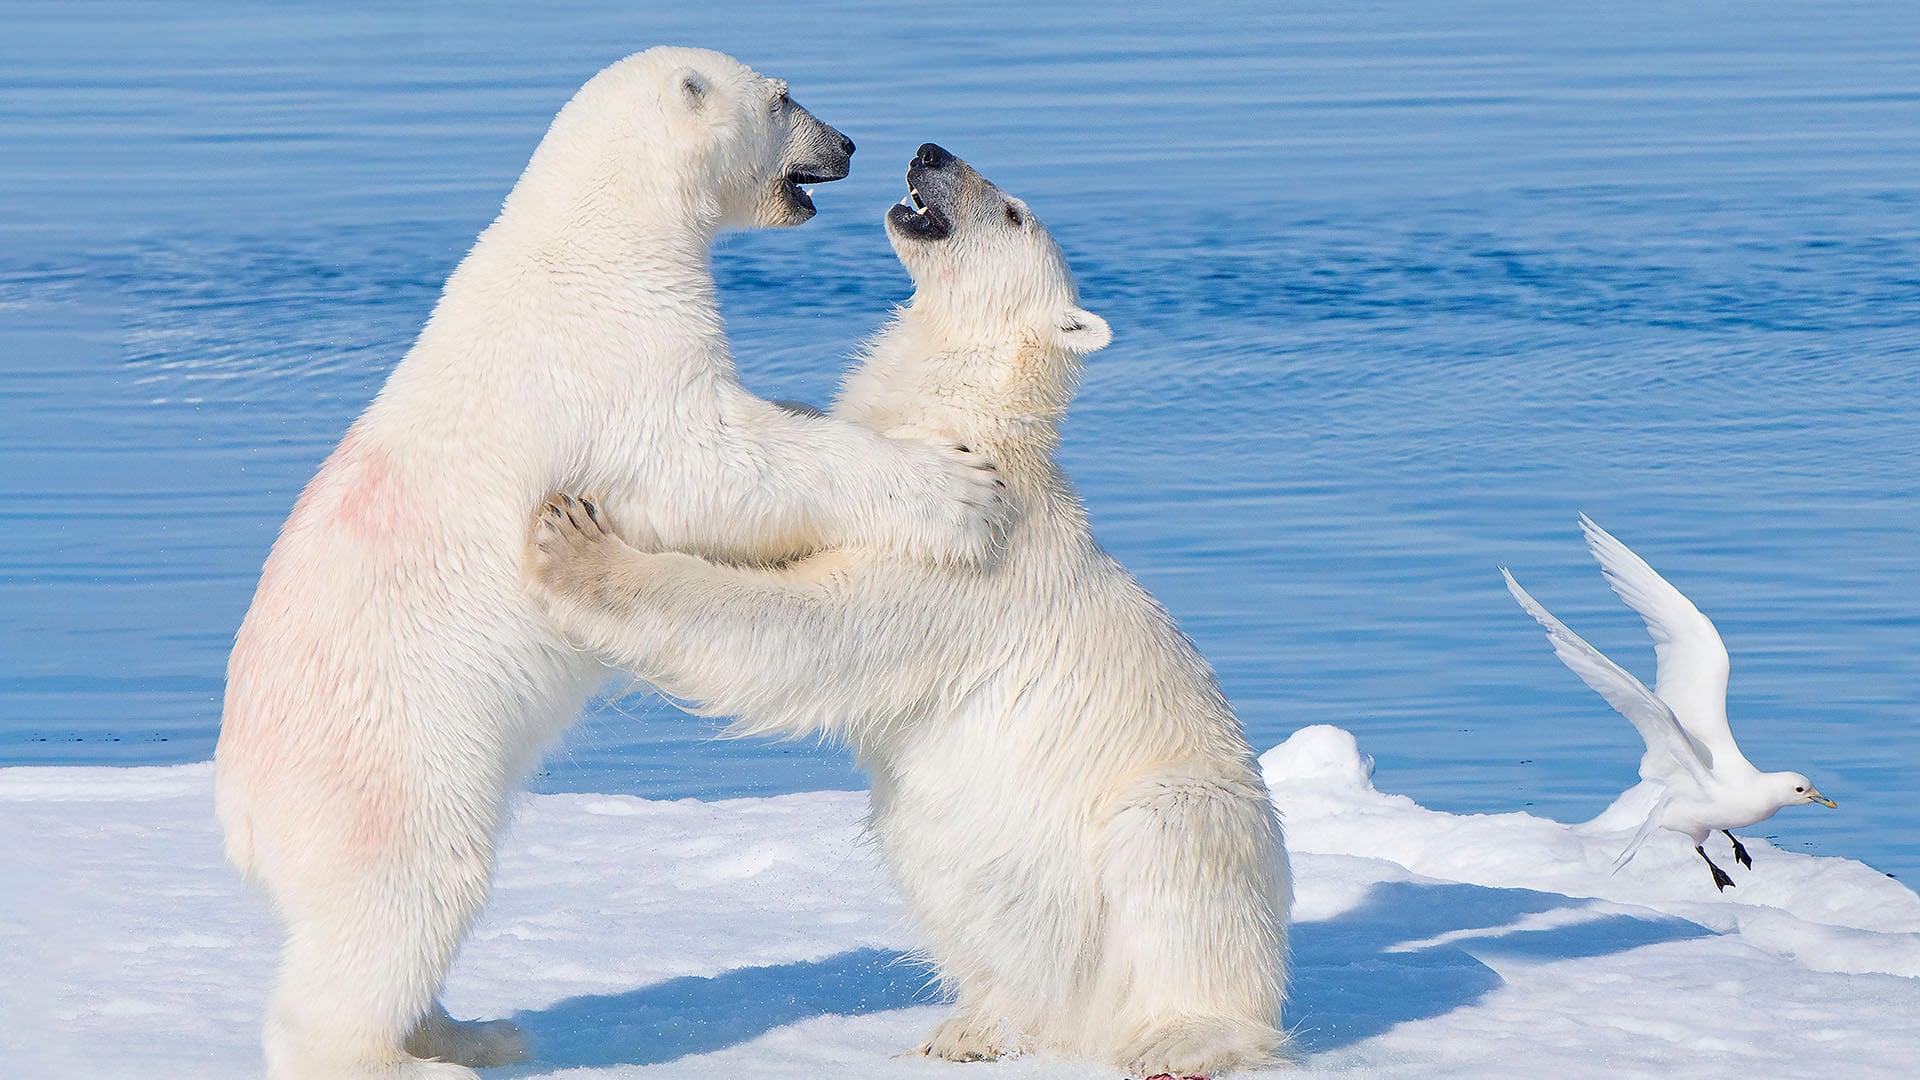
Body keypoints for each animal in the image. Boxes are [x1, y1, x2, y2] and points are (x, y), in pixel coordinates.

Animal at [213, 53, 1008, 1080]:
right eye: (783, 96)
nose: (847, 143)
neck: (595, 238)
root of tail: (242, 811)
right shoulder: (610, 360)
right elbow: (714, 466)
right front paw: (959, 490)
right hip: (384, 765)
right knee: (403, 898)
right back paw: (407, 1057)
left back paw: (475, 1029)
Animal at [526, 144, 1291, 1078]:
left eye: (1013, 212)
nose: (931, 153)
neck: (965, 423)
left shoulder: (963, 562)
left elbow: (801, 629)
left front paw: (577, 546)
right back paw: (972, 1027)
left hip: (1187, 816)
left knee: (1174, 855)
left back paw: (1180, 1038)